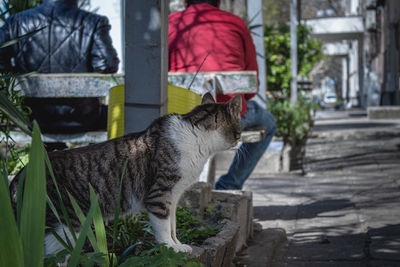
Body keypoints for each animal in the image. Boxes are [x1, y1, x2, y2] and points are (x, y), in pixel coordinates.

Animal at [9, 93, 241, 254]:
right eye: (239, 130)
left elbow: (173, 225)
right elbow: (163, 227)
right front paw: (170, 247)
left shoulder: (174, 196)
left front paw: (179, 244)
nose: (240, 142)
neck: (197, 139)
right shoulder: (159, 195)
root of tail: (20, 175)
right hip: (62, 226)